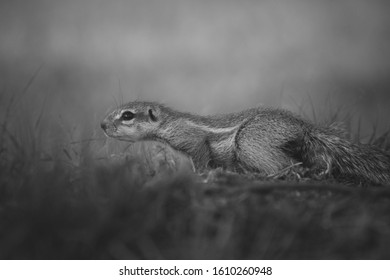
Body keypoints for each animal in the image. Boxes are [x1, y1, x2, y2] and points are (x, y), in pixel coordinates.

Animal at [101, 101, 390, 186]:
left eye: (127, 115)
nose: (102, 125)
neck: (169, 122)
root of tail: (303, 126)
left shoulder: (192, 140)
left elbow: (200, 157)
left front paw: (202, 176)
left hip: (250, 140)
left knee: (287, 166)